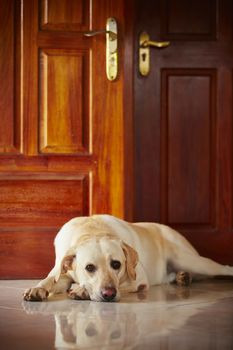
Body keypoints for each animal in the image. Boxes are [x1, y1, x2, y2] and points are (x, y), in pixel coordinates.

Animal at [23, 215, 233, 302]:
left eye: (116, 264)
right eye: (89, 267)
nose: (108, 294)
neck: (93, 230)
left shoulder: (138, 280)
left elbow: (123, 284)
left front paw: (82, 291)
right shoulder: (62, 274)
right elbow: (49, 280)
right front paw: (37, 289)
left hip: (192, 260)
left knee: (222, 268)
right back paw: (183, 277)